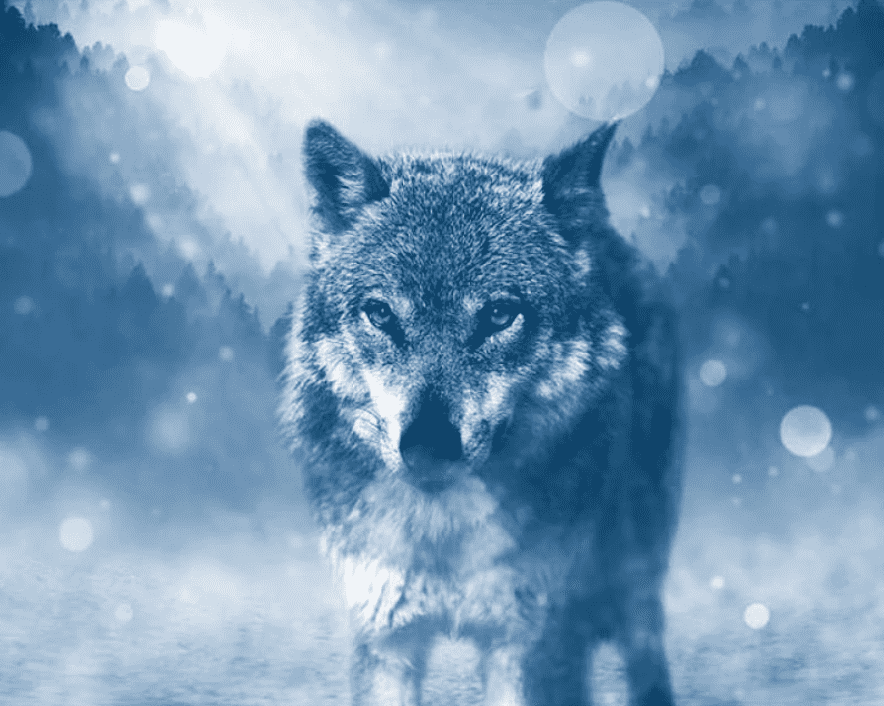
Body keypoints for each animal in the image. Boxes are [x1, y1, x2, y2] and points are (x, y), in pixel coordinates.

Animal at [279, 119, 682, 706]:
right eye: (380, 313)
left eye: (498, 314)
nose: (427, 446)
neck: (443, 531)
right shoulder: (386, 637)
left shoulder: (528, 643)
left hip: (634, 566)